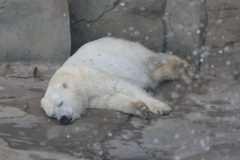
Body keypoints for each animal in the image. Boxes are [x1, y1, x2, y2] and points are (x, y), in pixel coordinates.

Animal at [40, 37, 193, 125]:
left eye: (60, 102)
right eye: (52, 115)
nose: (63, 119)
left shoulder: (93, 76)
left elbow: (123, 86)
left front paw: (160, 108)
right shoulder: (91, 99)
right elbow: (112, 100)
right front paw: (140, 108)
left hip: (129, 51)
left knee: (153, 58)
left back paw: (184, 68)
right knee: (153, 75)